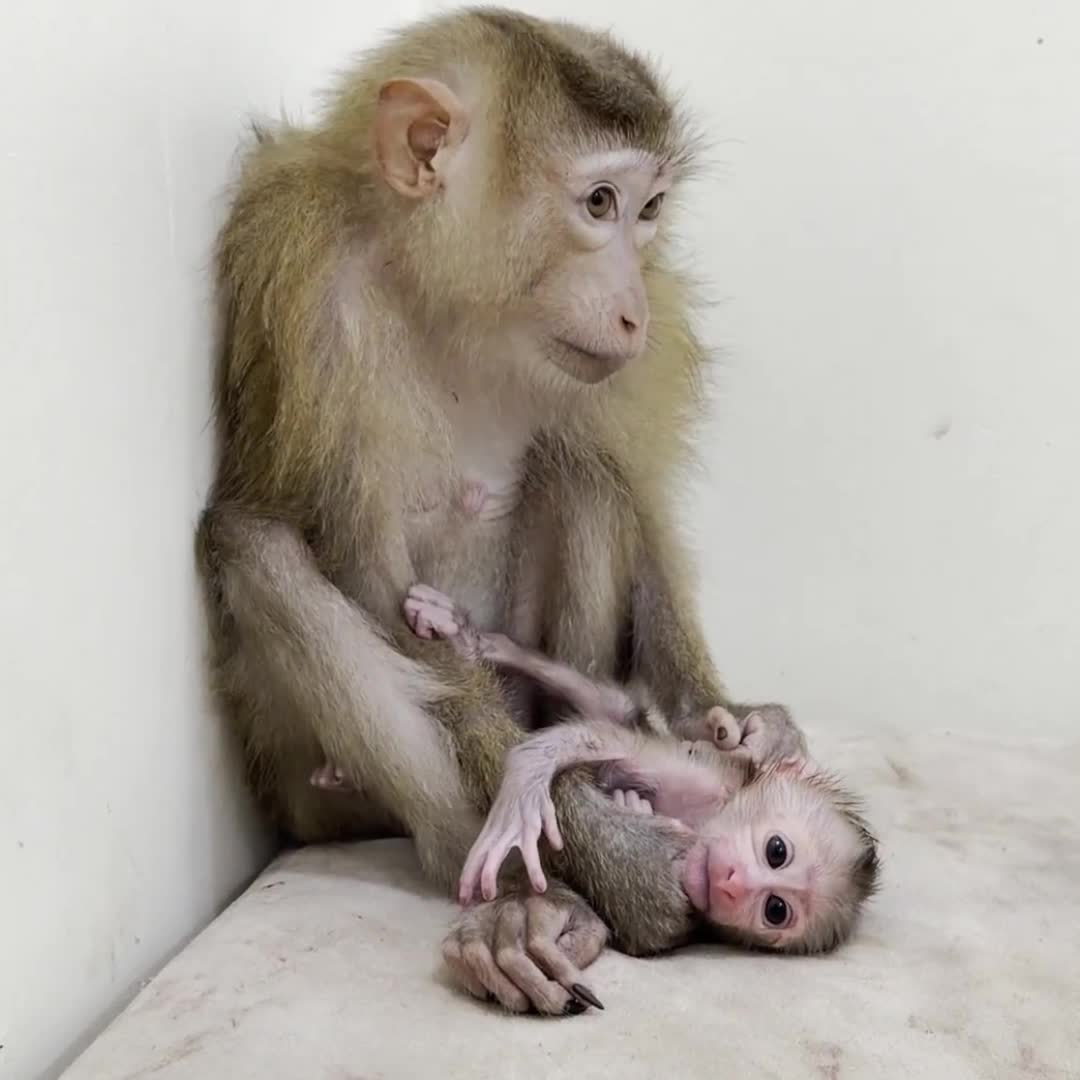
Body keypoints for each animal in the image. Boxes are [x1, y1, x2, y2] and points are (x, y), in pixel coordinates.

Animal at [197, 6, 817, 1015]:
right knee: (254, 550)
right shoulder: (313, 303)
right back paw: (528, 898)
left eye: (648, 211)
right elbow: (376, 589)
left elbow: (627, 486)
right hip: (314, 789)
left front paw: (723, 721)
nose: (637, 311)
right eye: (598, 203)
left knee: (583, 470)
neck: (448, 294)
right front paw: (624, 864)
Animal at [401, 583, 878, 955]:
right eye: (777, 850)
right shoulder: (702, 779)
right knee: (615, 708)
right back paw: (470, 641)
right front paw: (525, 784)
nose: (734, 883)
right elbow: (613, 745)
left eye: (775, 909)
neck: (708, 816)